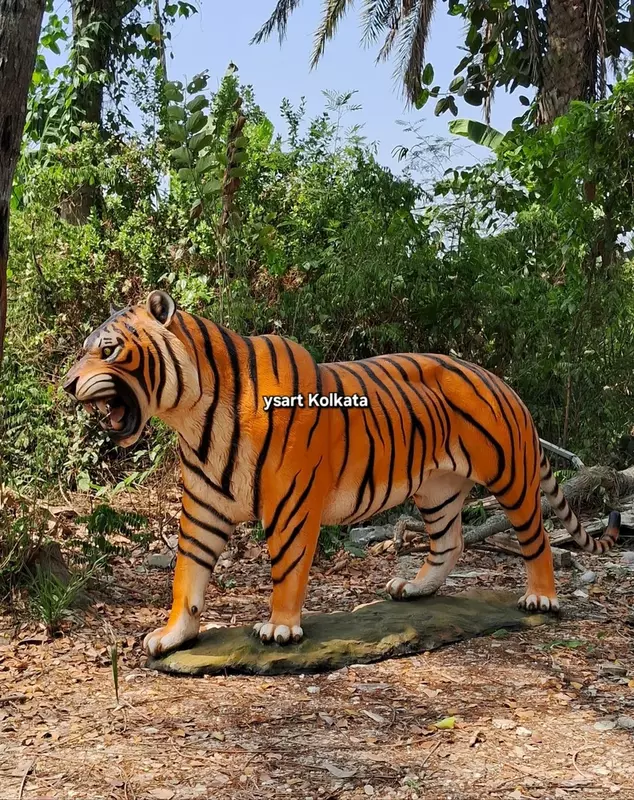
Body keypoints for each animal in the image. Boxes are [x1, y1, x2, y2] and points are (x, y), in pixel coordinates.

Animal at [62, 290, 620, 656]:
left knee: (537, 537)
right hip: (438, 489)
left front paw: (280, 629)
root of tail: (503, 383)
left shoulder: (290, 503)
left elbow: (287, 568)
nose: (66, 385)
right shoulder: (202, 509)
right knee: (451, 541)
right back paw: (415, 589)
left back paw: (541, 598)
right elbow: (187, 573)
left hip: (510, 474)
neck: (193, 416)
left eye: (108, 349)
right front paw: (175, 634)